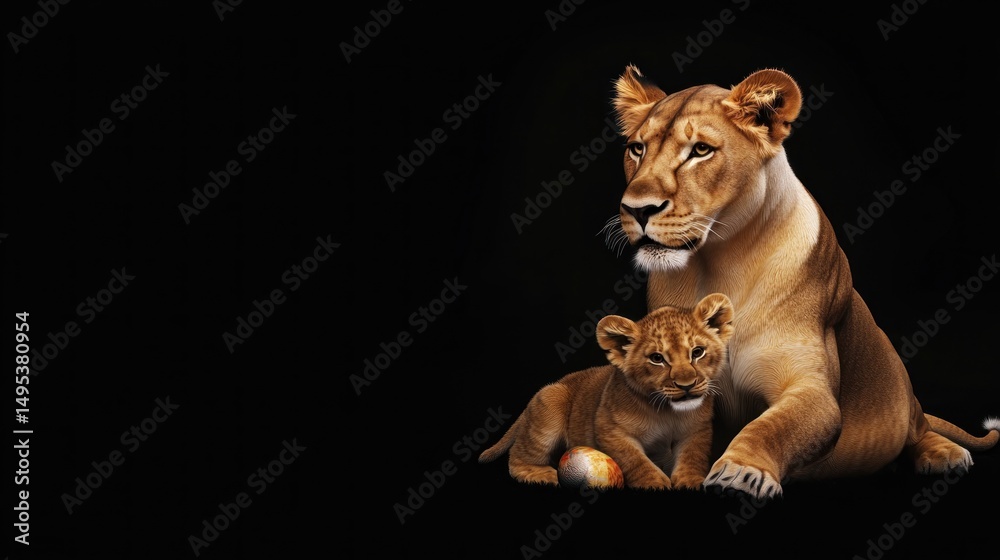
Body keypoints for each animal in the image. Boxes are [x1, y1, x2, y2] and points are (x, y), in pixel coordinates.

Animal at [479, 293, 734, 490]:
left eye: (698, 352)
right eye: (657, 358)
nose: (686, 385)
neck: (668, 412)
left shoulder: (697, 429)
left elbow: (693, 455)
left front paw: (690, 480)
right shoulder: (608, 428)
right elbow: (635, 460)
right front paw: (654, 483)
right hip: (550, 403)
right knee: (517, 457)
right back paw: (544, 475)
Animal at [605, 65, 999, 499]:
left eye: (701, 150)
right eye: (637, 149)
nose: (637, 210)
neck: (718, 263)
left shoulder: (811, 386)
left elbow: (773, 427)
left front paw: (742, 471)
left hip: (900, 385)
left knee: (919, 427)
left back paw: (944, 453)